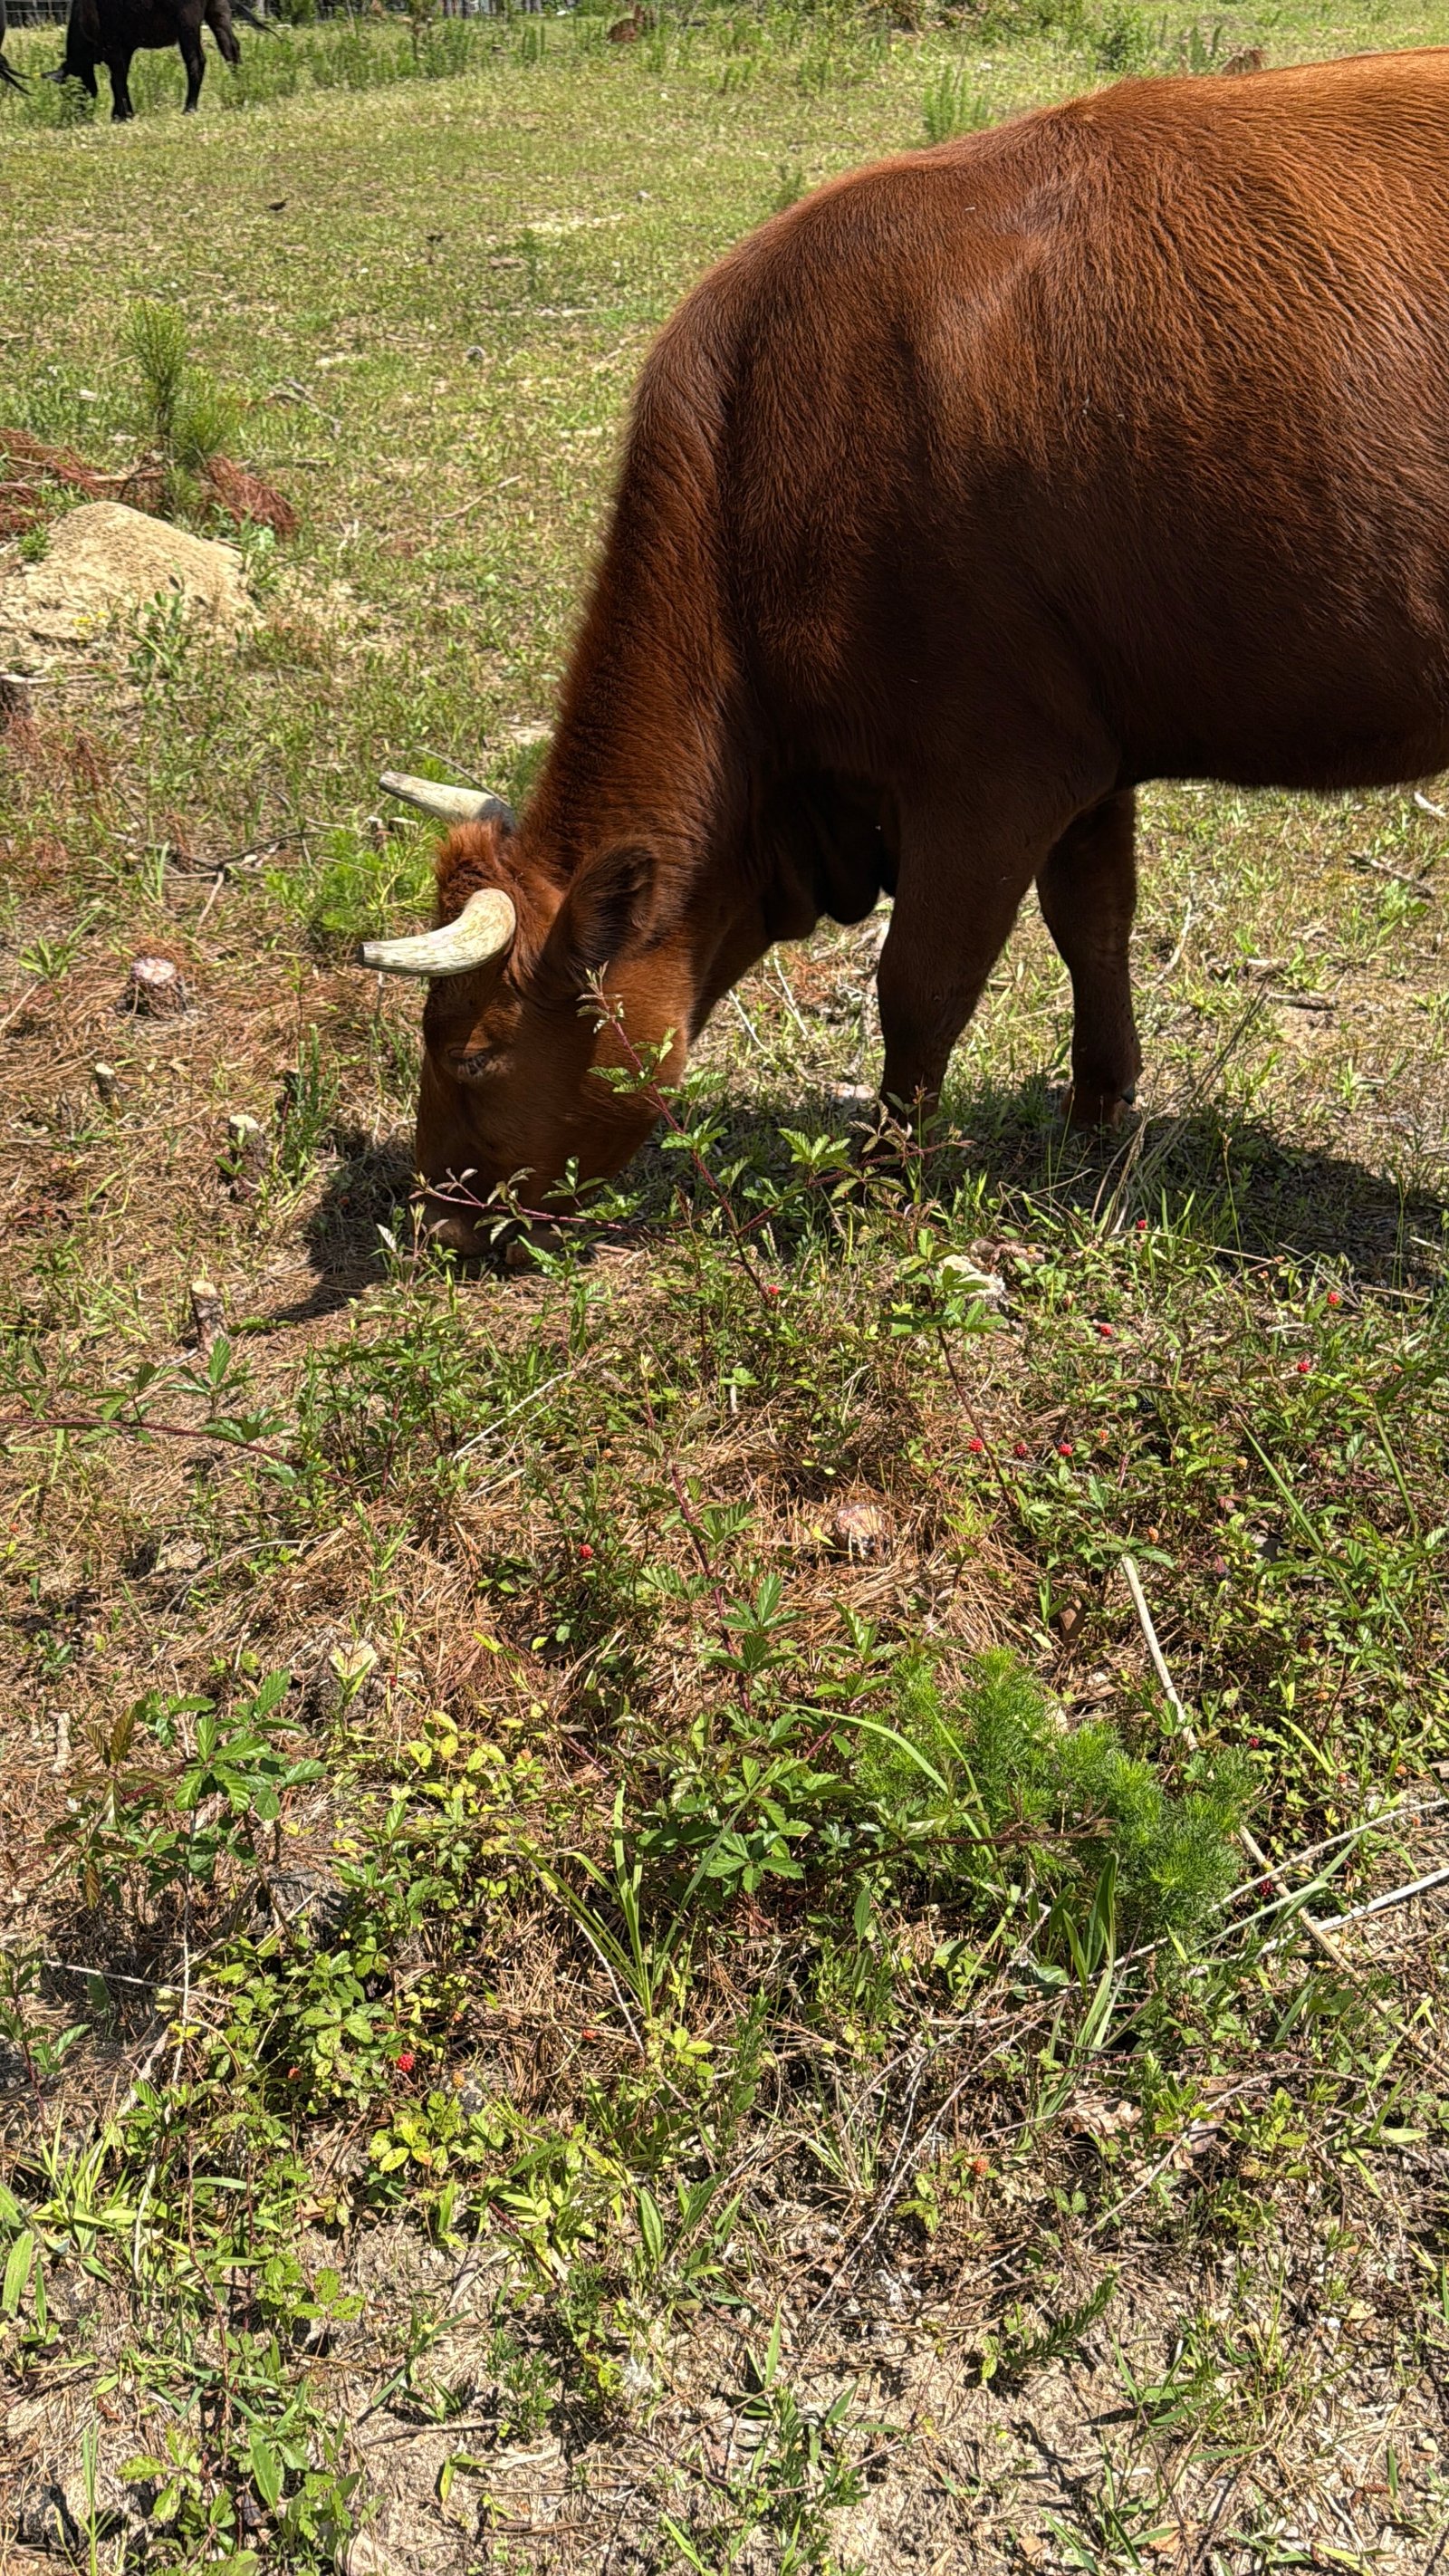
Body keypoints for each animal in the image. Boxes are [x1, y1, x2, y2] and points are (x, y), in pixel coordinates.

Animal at [53, 0, 252, 117]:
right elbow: (121, 78)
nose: (72, 115)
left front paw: (123, 115)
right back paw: (240, 94)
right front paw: (119, 113)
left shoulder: (114, 45)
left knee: (196, 60)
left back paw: (189, 107)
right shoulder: (126, 48)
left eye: (68, 90)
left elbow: (116, 80)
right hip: (218, 12)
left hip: (187, 22)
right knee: (231, 51)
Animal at [356, 48, 1449, 1250]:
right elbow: (1094, 921)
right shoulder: (1087, 750)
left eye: (474, 1053)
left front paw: (874, 1179)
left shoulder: (991, 769)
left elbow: (920, 986)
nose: (431, 1218)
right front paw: (1096, 1109)